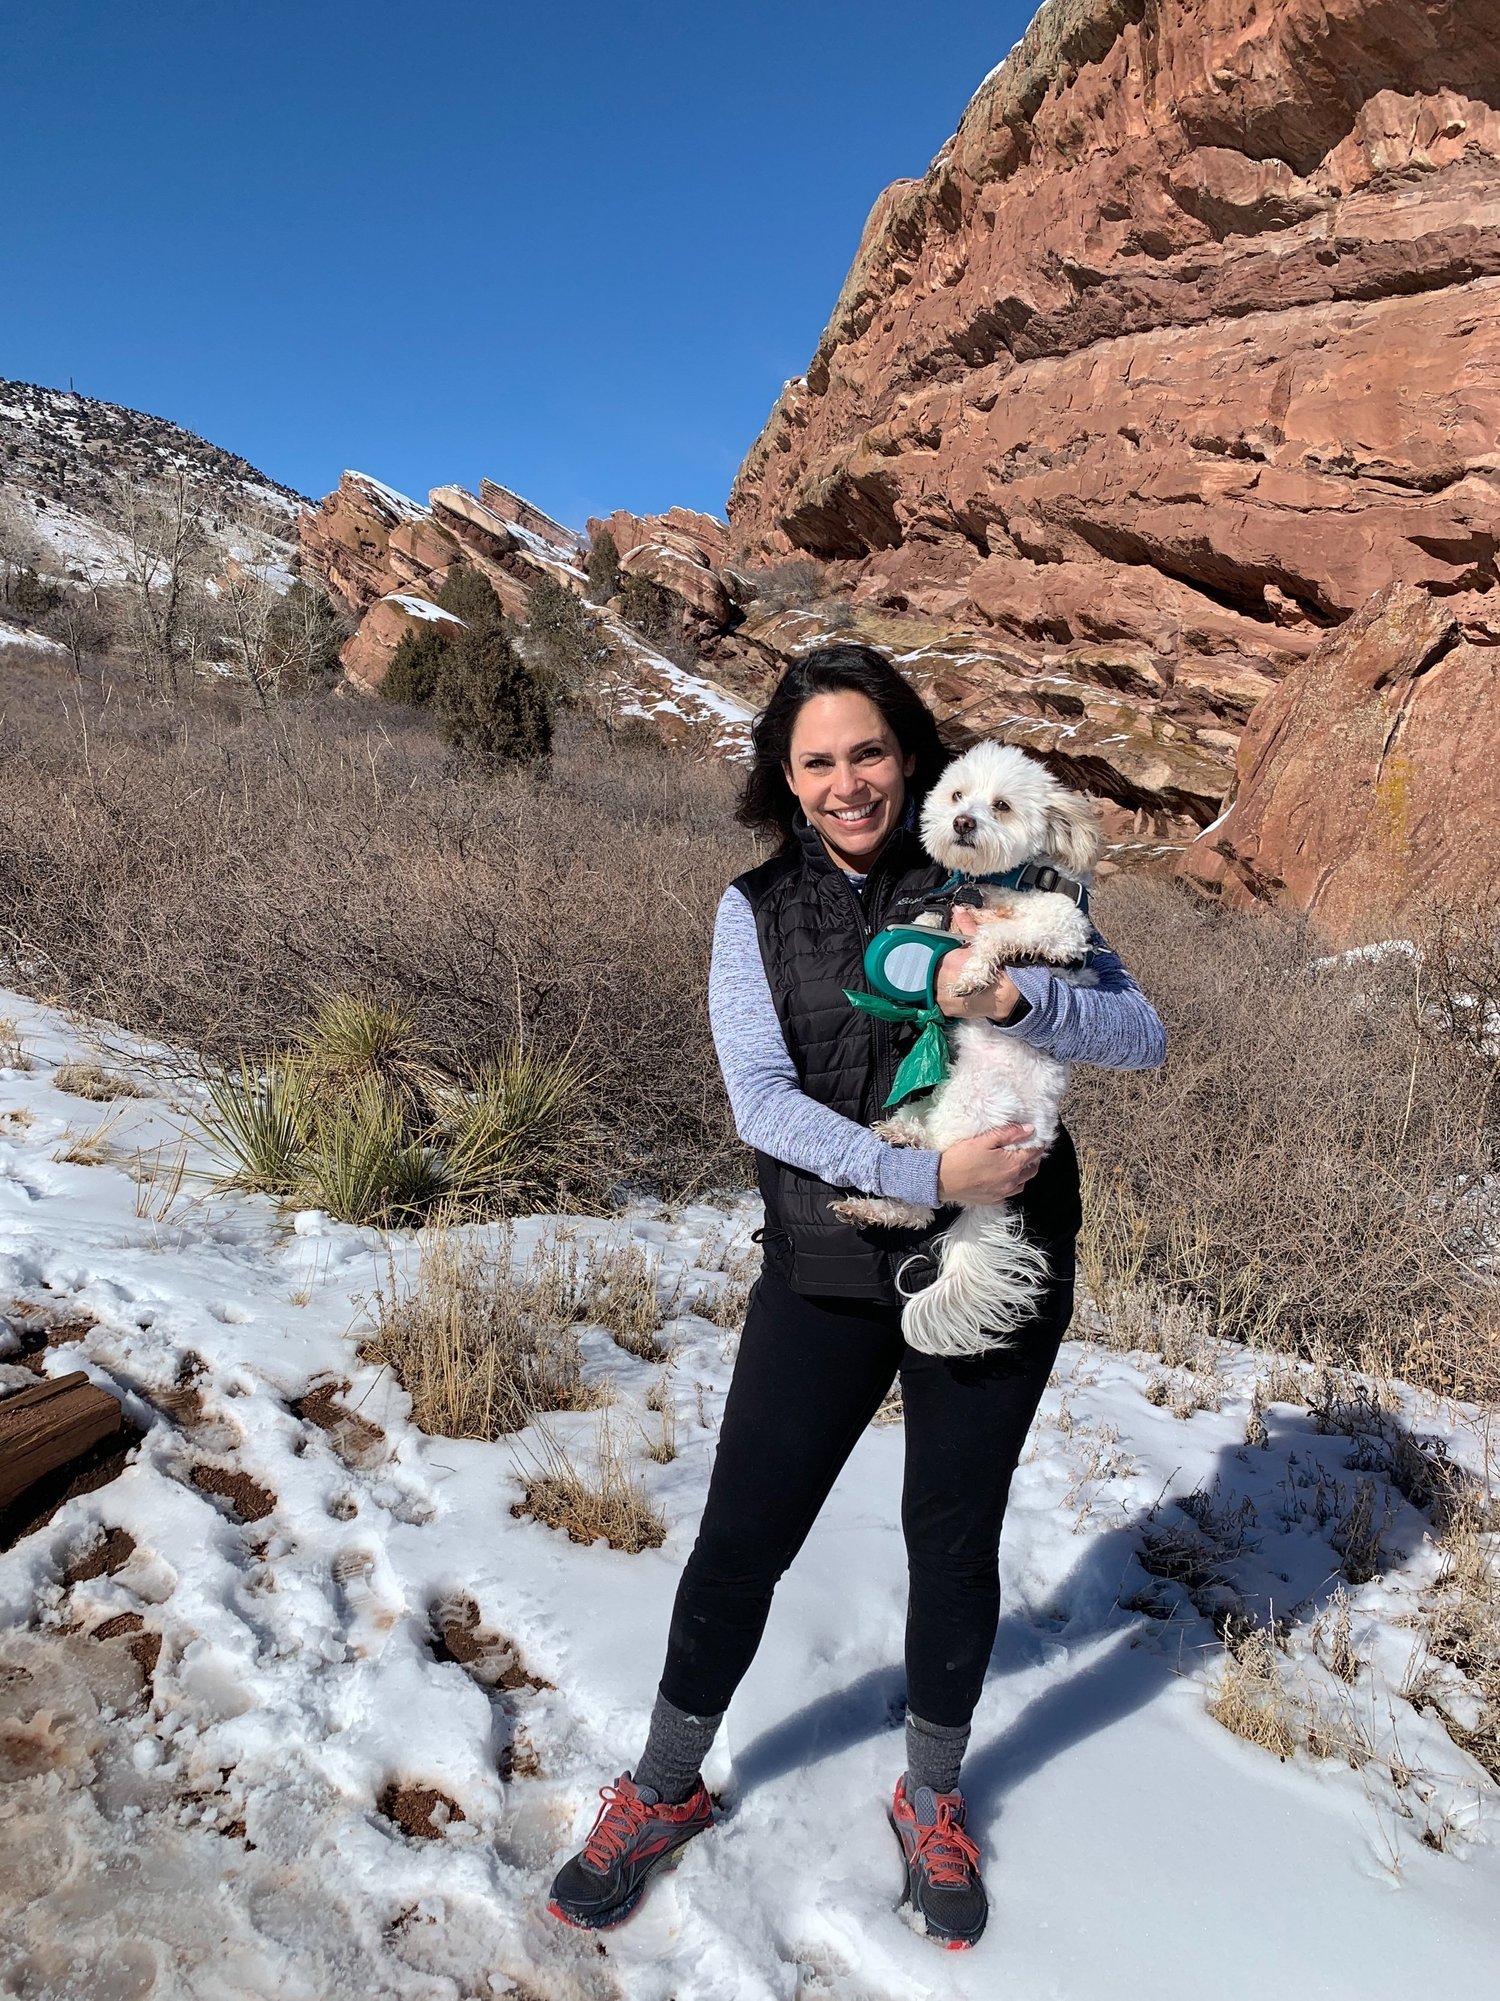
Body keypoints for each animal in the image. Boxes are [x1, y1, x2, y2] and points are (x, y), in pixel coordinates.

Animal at [836, 748, 1104, 1360]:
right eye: (957, 796)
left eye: (1001, 805)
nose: (962, 823)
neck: (1002, 885)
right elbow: (935, 924)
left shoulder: (1060, 929)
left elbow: (994, 939)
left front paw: (973, 969)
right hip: (932, 1096)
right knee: (917, 1197)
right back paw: (883, 1167)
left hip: (975, 1105)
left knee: (933, 1181)